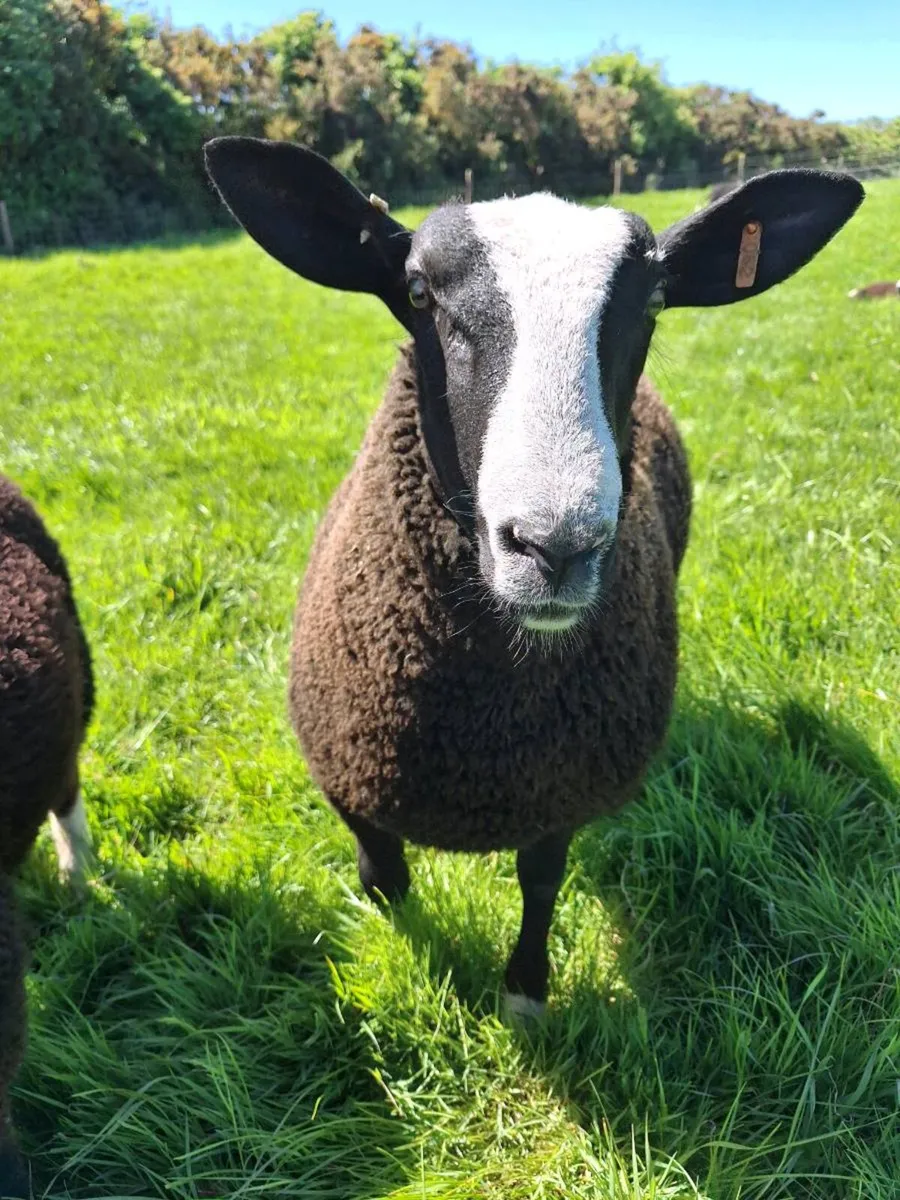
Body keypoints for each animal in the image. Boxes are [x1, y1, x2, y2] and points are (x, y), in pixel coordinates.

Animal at [205, 138, 864, 1013]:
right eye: (418, 291)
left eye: (656, 301)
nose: (557, 547)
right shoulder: (349, 777)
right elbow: (384, 879)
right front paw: (400, 951)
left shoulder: (562, 790)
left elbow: (542, 882)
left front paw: (525, 990)